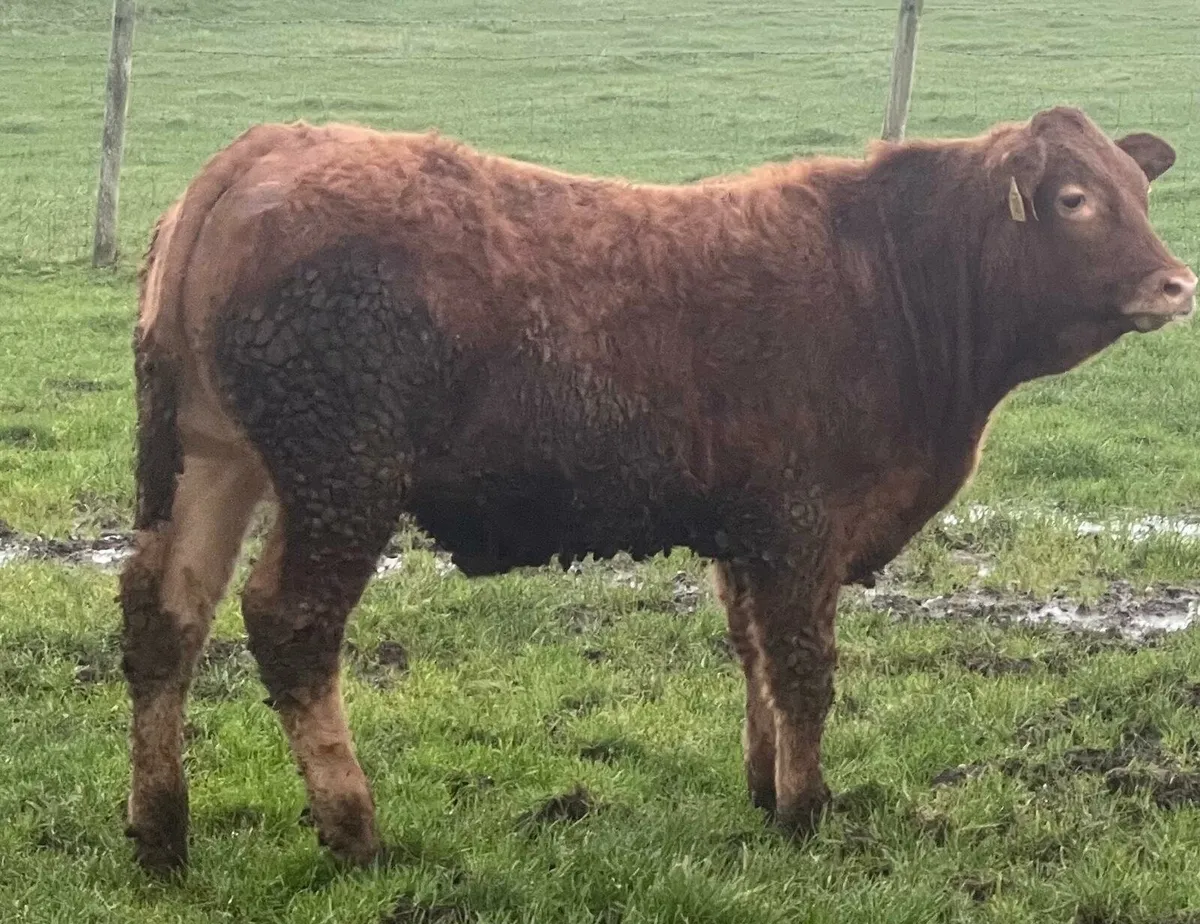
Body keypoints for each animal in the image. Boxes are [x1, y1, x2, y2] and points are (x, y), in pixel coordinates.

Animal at [119, 106, 1195, 874]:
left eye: (1138, 189)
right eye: (1074, 199)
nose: (1177, 284)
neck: (892, 281)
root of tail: (264, 147)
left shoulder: (747, 531)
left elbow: (755, 655)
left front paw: (765, 788)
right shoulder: (802, 522)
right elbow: (806, 667)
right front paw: (809, 811)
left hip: (214, 461)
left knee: (165, 615)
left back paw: (162, 834)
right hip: (343, 474)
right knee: (289, 621)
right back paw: (354, 830)